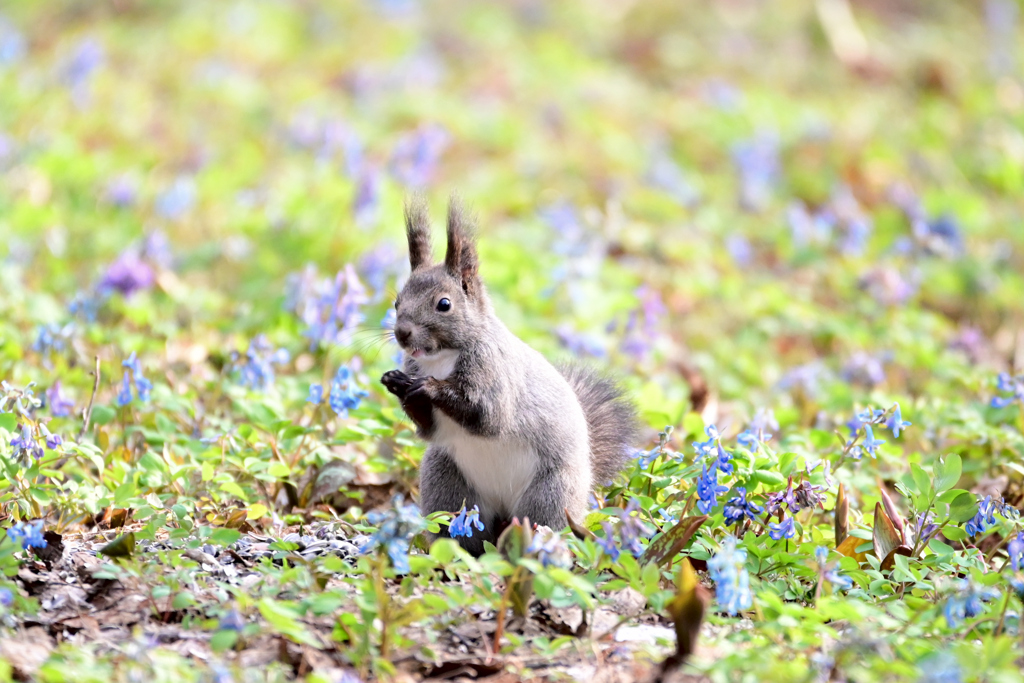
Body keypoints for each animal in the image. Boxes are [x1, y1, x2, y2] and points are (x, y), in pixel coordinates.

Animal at [380, 197, 634, 557]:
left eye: (444, 304)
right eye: (396, 302)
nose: (402, 333)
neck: (442, 357)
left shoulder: (495, 374)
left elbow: (487, 417)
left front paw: (429, 388)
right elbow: (429, 429)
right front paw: (397, 383)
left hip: (549, 494)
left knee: (540, 522)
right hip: (446, 484)